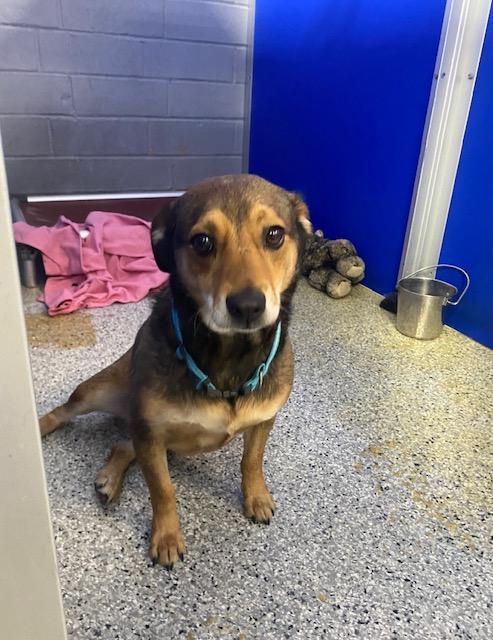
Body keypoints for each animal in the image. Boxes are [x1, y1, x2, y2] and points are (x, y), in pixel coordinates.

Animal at [42, 172, 312, 568]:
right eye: (202, 242)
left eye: (275, 235)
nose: (248, 306)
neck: (229, 357)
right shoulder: (151, 433)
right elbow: (163, 490)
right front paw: (167, 537)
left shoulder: (264, 418)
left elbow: (252, 460)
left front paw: (256, 497)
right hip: (103, 392)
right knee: (65, 412)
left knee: (122, 443)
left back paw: (109, 479)